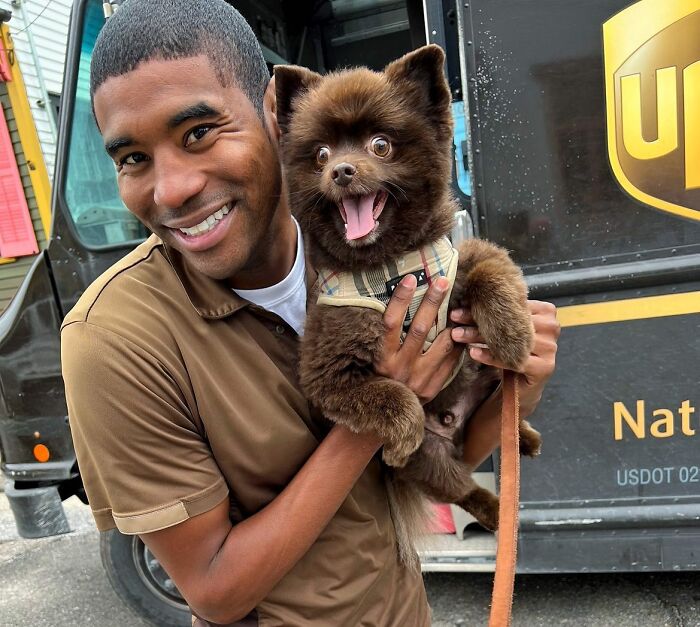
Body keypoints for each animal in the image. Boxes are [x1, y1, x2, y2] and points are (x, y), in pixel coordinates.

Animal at [274, 44, 540, 564]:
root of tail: (455, 423)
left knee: (502, 397)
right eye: (320, 154)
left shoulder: (460, 257)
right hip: (433, 461)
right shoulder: (329, 370)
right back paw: (499, 509)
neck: (392, 267)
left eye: (380, 146)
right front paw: (400, 436)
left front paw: (512, 333)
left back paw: (524, 433)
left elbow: (490, 272)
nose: (341, 170)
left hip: (481, 373)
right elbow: (395, 394)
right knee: (461, 488)